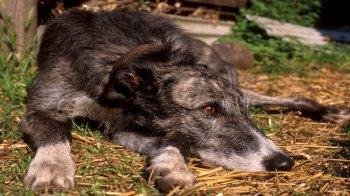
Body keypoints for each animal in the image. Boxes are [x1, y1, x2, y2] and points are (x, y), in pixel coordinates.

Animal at [20, 9, 348, 192]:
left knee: (293, 97)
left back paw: (332, 111)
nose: (283, 162)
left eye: (243, 113)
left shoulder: (128, 128)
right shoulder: (41, 110)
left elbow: (175, 139)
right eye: (209, 109)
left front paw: (172, 166)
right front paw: (53, 168)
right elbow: (56, 132)